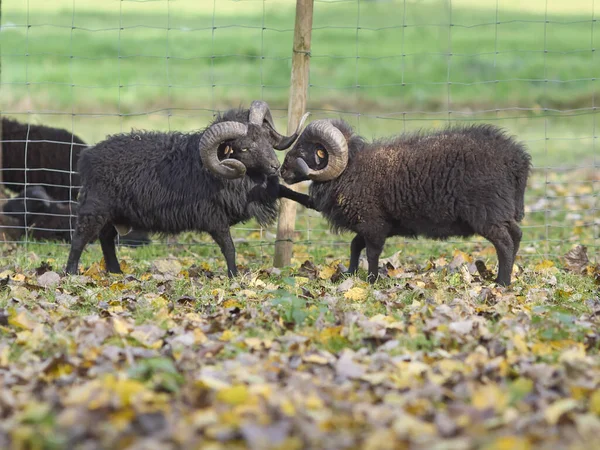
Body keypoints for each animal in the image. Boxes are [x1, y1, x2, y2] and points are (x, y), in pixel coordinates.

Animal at [280, 118, 528, 284]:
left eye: (304, 148)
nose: (282, 171)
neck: (349, 169)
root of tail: (516, 158)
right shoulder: (377, 224)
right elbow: (355, 245)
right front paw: (350, 273)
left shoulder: (373, 224)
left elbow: (371, 252)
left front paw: (371, 280)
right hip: (502, 211)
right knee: (516, 234)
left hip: (487, 213)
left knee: (504, 243)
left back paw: (502, 283)